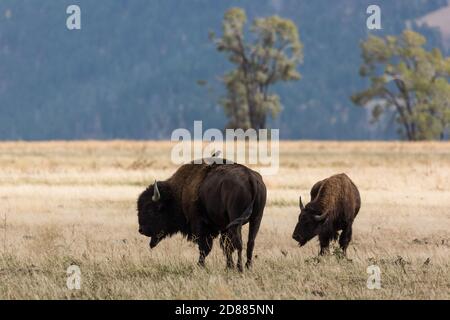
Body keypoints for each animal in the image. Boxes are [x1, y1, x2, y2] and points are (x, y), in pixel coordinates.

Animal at [135, 159, 266, 272]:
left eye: (151, 210)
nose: (141, 230)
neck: (179, 193)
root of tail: (250, 178)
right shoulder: (224, 227)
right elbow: (225, 247)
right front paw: (228, 267)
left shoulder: (200, 224)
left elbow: (205, 247)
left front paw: (200, 266)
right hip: (256, 219)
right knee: (250, 242)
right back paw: (248, 267)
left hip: (236, 221)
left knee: (239, 242)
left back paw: (240, 268)